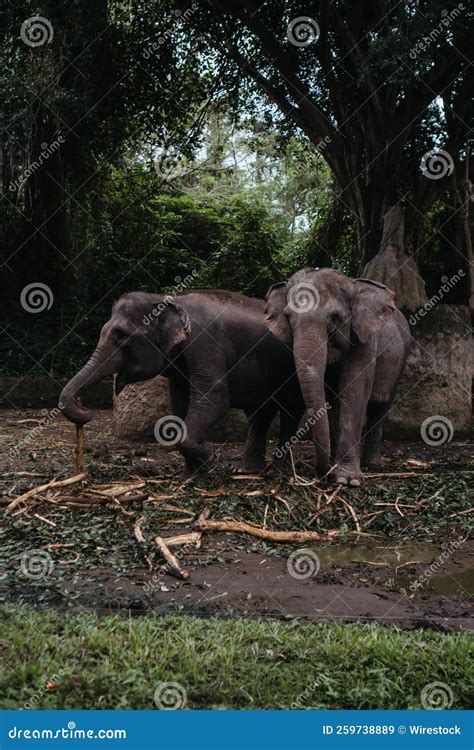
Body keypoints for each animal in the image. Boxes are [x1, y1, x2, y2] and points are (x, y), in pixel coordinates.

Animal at [59, 290, 305, 476]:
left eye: (121, 336)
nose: (86, 411)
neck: (167, 300)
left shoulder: (204, 342)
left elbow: (214, 399)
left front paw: (207, 457)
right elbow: (179, 405)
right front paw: (192, 475)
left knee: (290, 412)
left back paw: (279, 471)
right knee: (261, 413)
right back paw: (251, 471)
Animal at [265, 268, 411, 486]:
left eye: (335, 317)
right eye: (288, 317)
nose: (322, 474)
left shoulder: (364, 339)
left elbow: (355, 390)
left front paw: (346, 480)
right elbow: (330, 398)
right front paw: (335, 471)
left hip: (402, 357)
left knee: (380, 405)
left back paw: (373, 465)